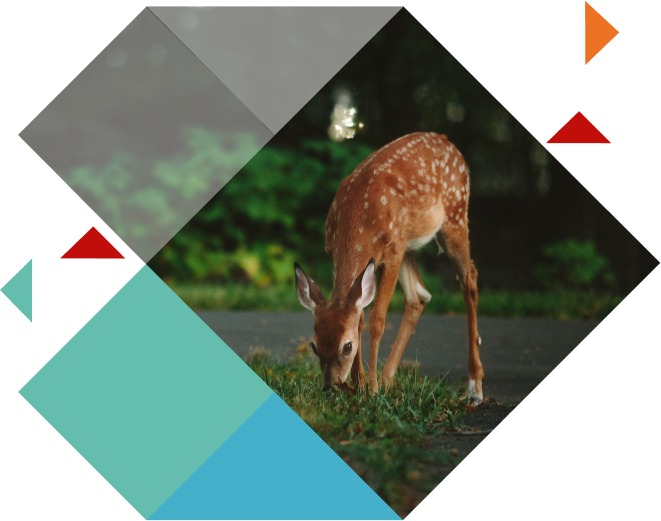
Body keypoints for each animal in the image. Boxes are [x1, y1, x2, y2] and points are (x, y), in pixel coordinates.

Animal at [294, 132, 484, 404]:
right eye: (314, 346)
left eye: (347, 346)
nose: (330, 388)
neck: (359, 217)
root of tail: (448, 142)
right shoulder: (339, 252)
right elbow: (359, 317)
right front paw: (359, 385)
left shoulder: (392, 253)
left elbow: (376, 320)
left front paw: (370, 389)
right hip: (409, 244)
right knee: (418, 296)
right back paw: (387, 379)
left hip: (454, 216)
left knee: (470, 281)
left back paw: (474, 388)